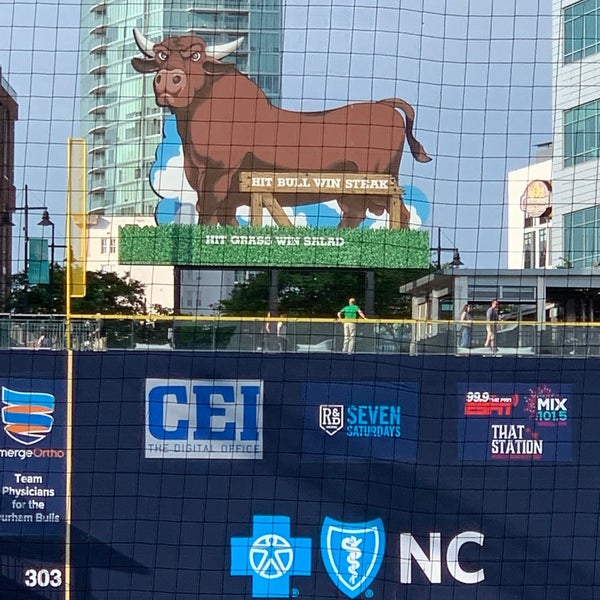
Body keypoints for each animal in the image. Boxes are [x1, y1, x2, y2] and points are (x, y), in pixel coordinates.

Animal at [131, 29, 432, 227]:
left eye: (195, 56)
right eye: (160, 56)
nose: (168, 80)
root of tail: (384, 106)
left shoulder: (219, 175)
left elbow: (207, 213)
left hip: (376, 182)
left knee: (397, 213)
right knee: (358, 214)